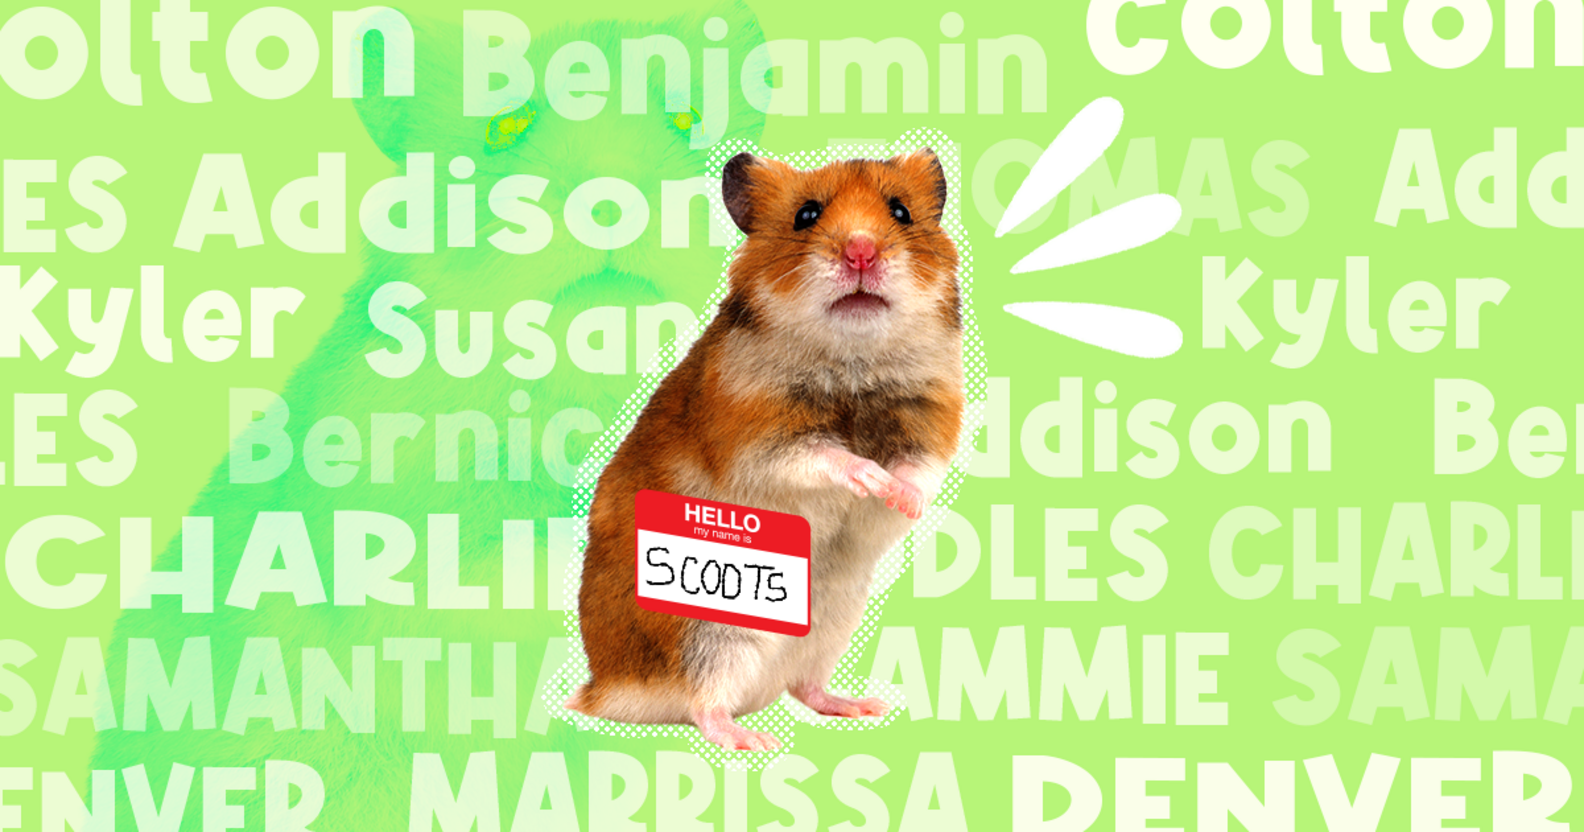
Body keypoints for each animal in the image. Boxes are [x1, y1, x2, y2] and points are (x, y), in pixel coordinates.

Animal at [569, 148, 963, 751]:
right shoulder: (758, 437)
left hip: (832, 621)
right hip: (713, 635)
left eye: (901, 211)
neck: (855, 362)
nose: (862, 252)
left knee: (804, 686)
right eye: (806, 215)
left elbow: (919, 470)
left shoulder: (933, 420)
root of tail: (604, 688)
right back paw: (752, 740)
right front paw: (873, 479)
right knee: (702, 703)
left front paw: (903, 499)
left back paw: (862, 706)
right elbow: (827, 457)